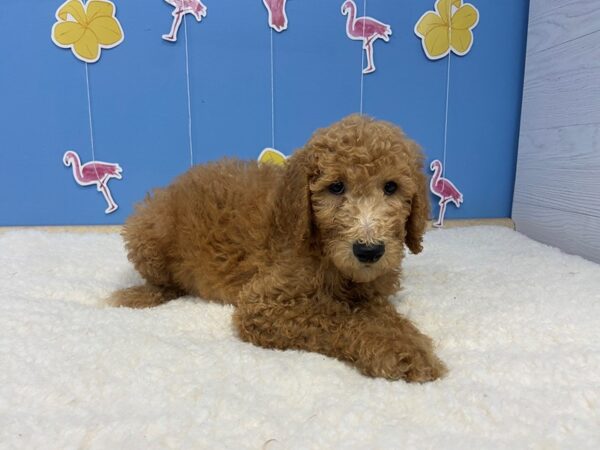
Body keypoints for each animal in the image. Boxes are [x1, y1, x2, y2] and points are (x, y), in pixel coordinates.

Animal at [110, 114, 446, 382]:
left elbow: (382, 315)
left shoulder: (369, 291)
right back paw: (137, 295)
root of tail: (171, 185)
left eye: (391, 187)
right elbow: (338, 317)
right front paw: (396, 351)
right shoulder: (263, 303)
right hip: (148, 232)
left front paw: (412, 341)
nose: (368, 251)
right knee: (163, 282)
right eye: (336, 187)